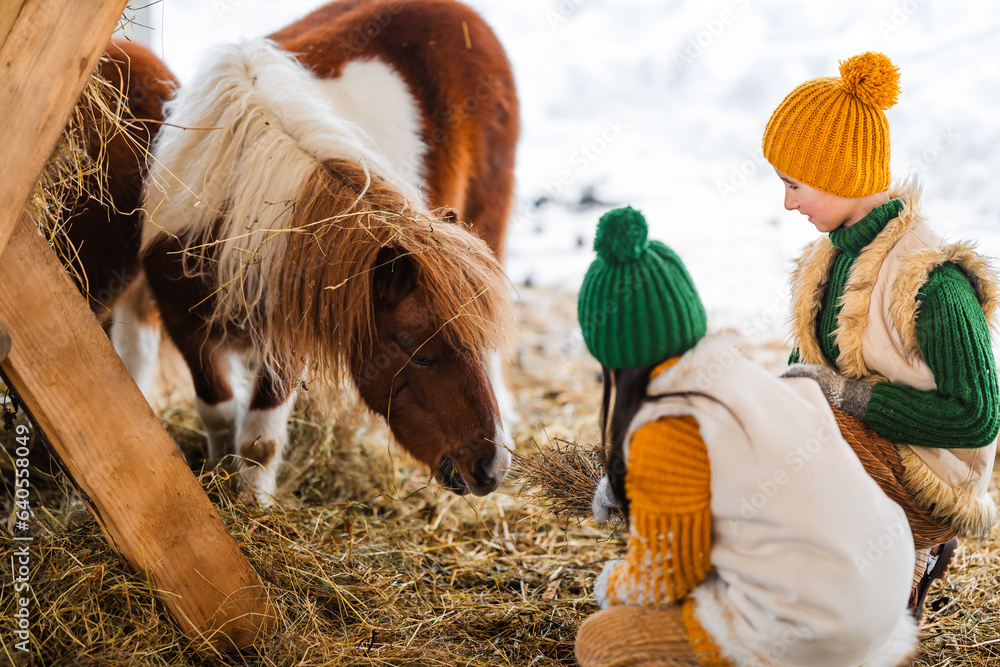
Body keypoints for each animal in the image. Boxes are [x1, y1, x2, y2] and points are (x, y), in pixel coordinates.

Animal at [137, 0, 520, 500]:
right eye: (421, 354)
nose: (490, 467)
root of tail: (469, 19)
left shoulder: (286, 344)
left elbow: (259, 438)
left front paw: (253, 505)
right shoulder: (186, 330)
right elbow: (219, 414)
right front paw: (219, 482)